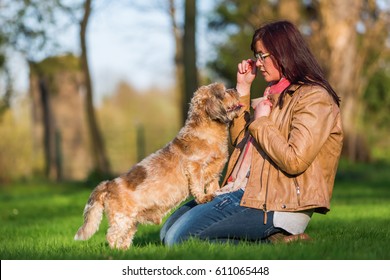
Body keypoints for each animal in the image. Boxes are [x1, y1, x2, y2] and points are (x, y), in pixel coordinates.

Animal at [74, 83, 242, 249]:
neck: (208, 133)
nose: (235, 88)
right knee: (112, 236)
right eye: (224, 92)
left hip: (131, 222)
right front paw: (204, 198)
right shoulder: (195, 167)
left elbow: (213, 186)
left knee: (125, 237)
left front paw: (216, 193)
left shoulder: (214, 173)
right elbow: (197, 185)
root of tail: (108, 185)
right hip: (122, 219)